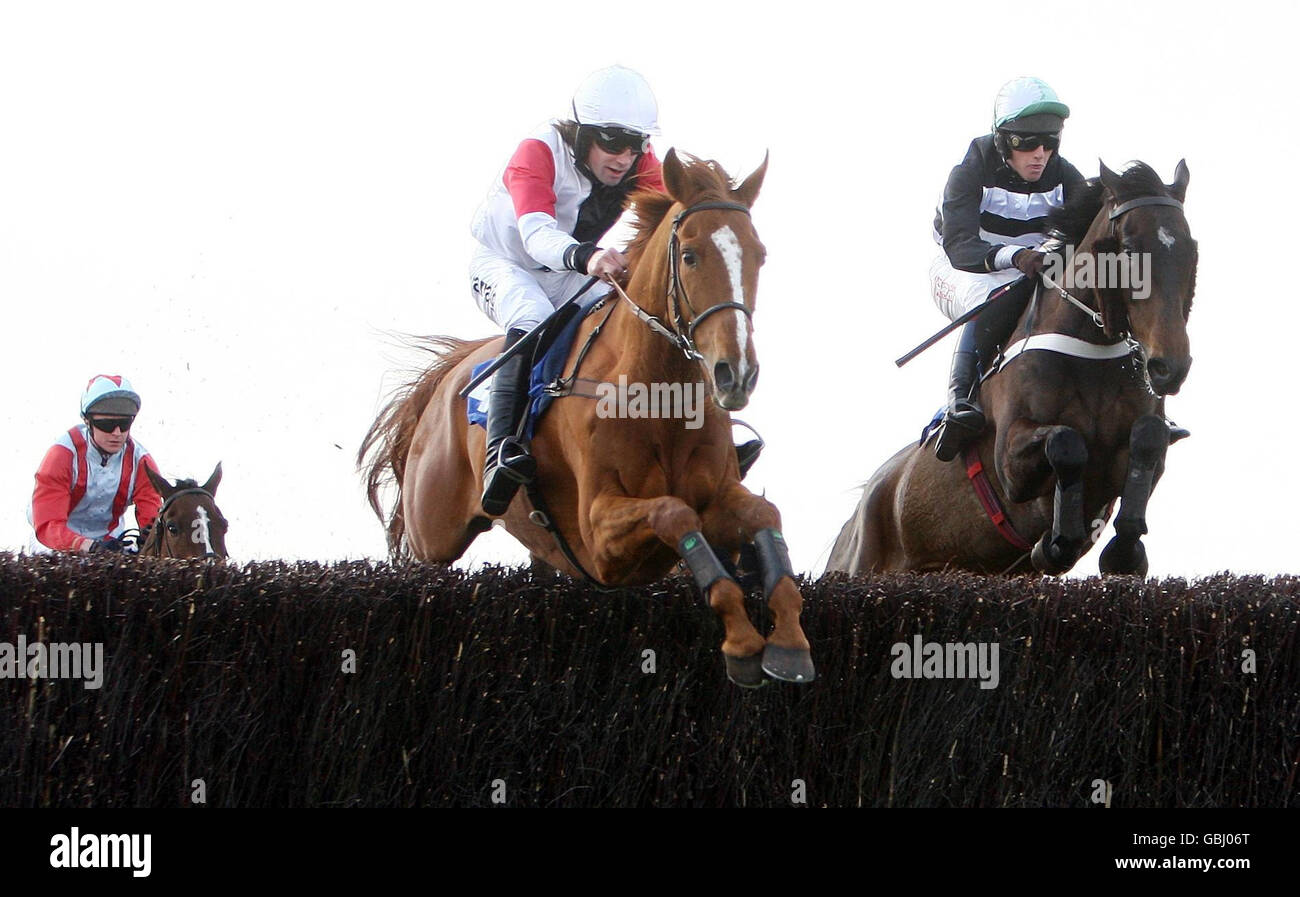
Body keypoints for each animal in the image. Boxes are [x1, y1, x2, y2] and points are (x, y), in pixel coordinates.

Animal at [361, 152, 811, 686]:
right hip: (433, 537)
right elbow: (673, 512)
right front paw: (742, 642)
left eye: (759, 255)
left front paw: (788, 643)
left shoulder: (718, 495)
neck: (656, 395)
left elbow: (764, 515)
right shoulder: (599, 538)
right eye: (690, 255)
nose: (735, 374)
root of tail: (450, 374)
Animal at [832, 161, 1196, 577]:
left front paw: (1124, 550)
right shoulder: (1010, 464)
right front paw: (1056, 543)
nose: (1169, 367)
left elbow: (1149, 436)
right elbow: (1065, 442)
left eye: (1190, 249)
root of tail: (858, 512)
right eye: (1131, 250)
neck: (1091, 350)